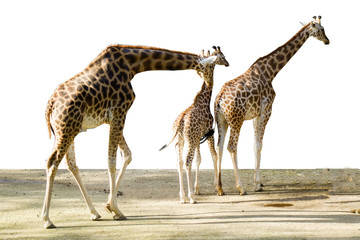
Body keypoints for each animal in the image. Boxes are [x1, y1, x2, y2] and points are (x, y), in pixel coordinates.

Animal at [42, 43, 222, 229]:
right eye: (210, 66)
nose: (210, 82)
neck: (132, 66)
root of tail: (50, 105)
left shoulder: (111, 119)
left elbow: (127, 155)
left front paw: (110, 207)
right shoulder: (120, 113)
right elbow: (111, 161)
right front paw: (115, 208)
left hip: (68, 131)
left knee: (71, 164)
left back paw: (94, 212)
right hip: (66, 130)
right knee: (52, 162)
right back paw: (47, 219)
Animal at [161, 46, 231, 203]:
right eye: (222, 56)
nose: (228, 63)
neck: (204, 100)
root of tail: (179, 124)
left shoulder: (199, 138)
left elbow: (199, 160)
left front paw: (198, 188)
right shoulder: (209, 133)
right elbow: (214, 155)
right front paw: (218, 188)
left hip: (180, 142)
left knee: (179, 163)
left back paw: (182, 197)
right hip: (190, 141)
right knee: (187, 162)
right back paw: (191, 197)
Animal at [214, 17, 330, 197]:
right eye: (322, 29)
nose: (327, 41)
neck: (271, 71)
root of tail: (219, 99)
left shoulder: (255, 114)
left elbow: (254, 145)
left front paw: (259, 182)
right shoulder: (267, 110)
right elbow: (259, 144)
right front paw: (257, 185)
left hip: (222, 120)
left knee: (219, 147)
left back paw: (220, 188)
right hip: (236, 120)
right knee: (231, 147)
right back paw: (241, 188)